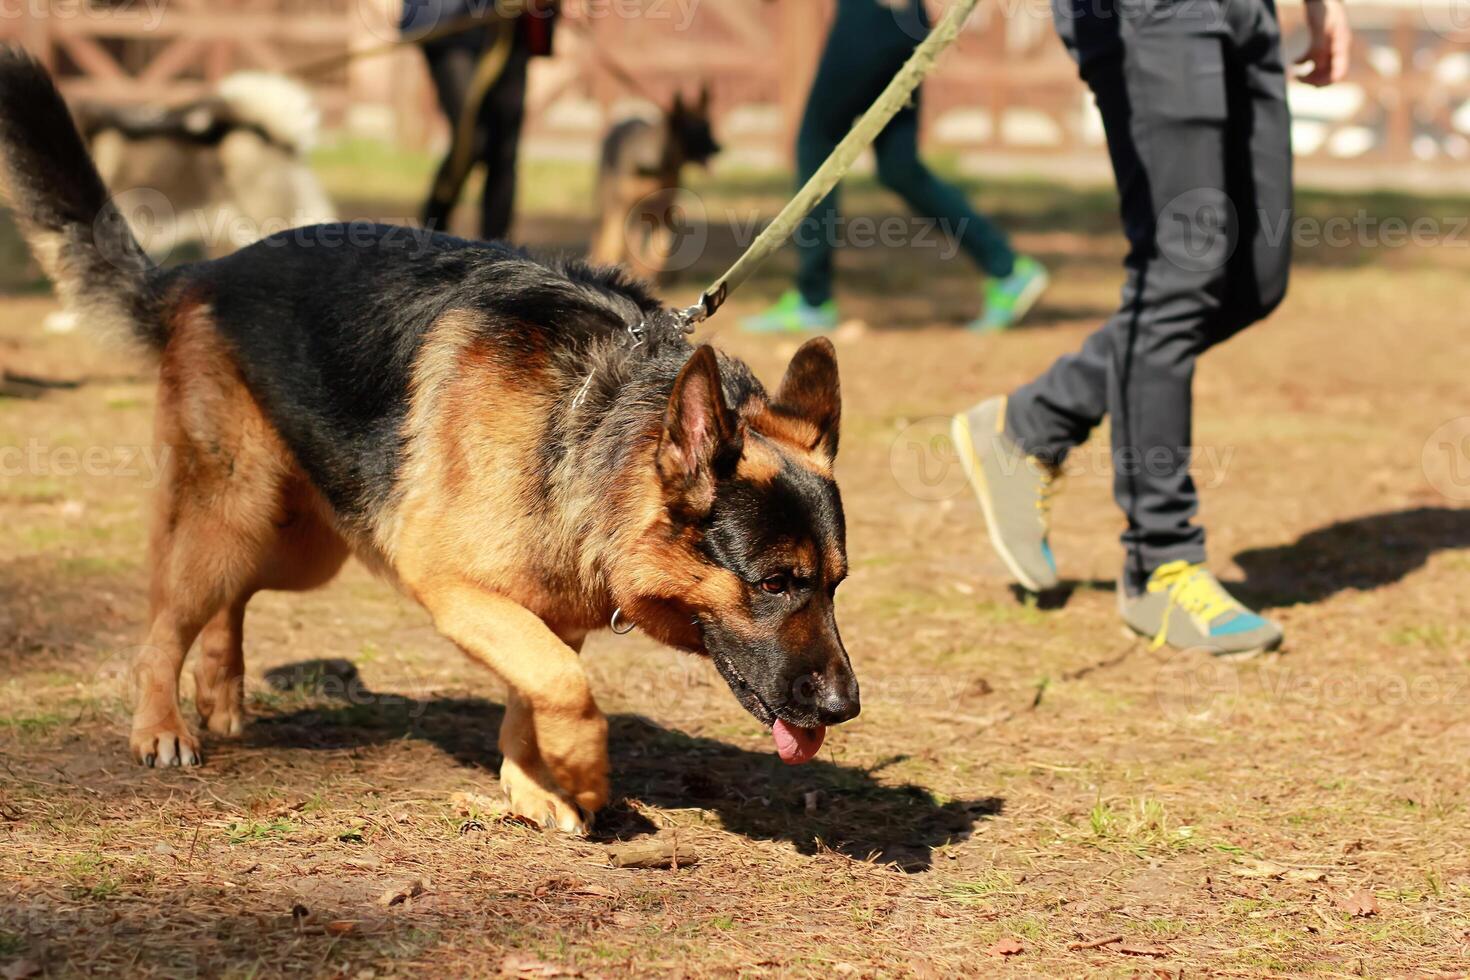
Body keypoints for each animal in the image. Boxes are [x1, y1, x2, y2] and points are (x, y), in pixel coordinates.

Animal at [588, 86, 720, 282]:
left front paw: (646, 273)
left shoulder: (663, 213)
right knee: (604, 237)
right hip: (609, 204)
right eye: (694, 131)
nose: (719, 147)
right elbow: (615, 244)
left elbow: (658, 253)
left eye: (708, 126)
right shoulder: (621, 208)